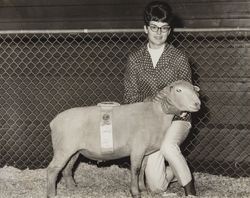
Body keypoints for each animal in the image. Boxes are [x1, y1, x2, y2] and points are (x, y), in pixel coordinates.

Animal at [46, 79, 200, 197]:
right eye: (178, 90)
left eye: (194, 90)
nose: (197, 104)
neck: (156, 114)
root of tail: (54, 121)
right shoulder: (137, 148)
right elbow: (136, 170)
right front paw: (135, 192)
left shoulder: (145, 151)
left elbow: (142, 169)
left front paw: (143, 189)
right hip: (63, 148)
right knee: (52, 169)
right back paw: (52, 194)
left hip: (74, 151)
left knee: (67, 168)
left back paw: (72, 188)